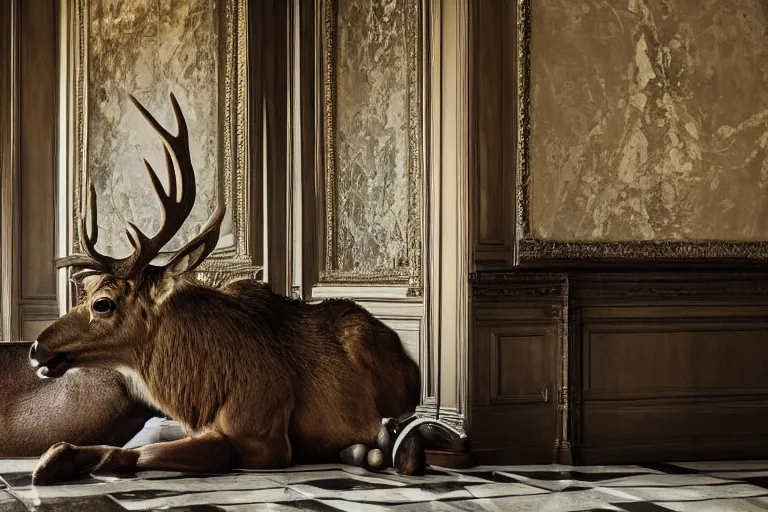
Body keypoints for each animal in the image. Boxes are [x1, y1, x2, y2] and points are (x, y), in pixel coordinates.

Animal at [30, 95, 424, 484]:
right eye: (85, 294)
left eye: (103, 303)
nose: (36, 349)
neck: (201, 386)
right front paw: (55, 457)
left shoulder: (264, 436)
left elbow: (146, 451)